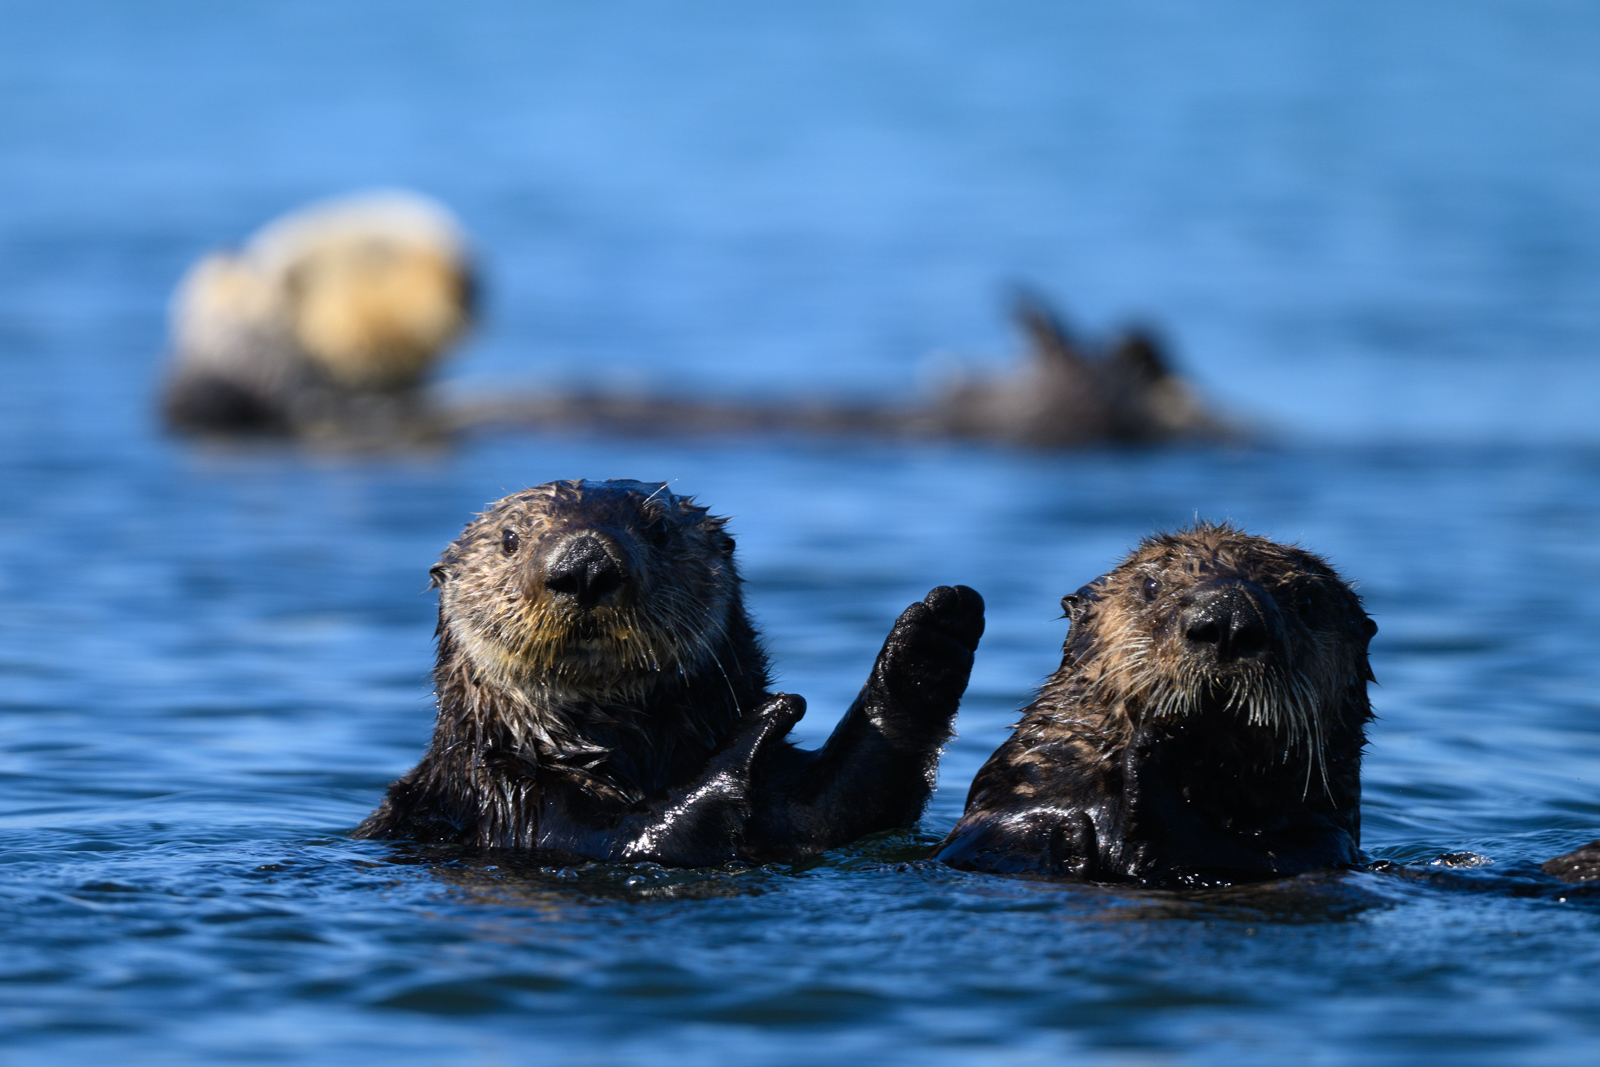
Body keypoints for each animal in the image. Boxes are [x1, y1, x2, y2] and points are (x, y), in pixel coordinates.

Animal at [354, 479, 985, 866]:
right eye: (510, 540)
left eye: (658, 532)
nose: (584, 563)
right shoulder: (505, 798)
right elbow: (639, 840)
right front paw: (762, 723)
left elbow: (854, 802)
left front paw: (932, 635)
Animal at [935, 523, 1376, 887]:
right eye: (1149, 586)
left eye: (1307, 604)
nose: (1228, 617)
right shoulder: (1016, 797)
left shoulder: (1321, 840)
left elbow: (1243, 854)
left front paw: (1150, 753)